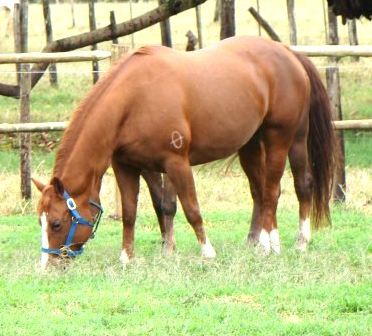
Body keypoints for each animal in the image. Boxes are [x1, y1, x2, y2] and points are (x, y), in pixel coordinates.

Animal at [33, 36, 336, 268]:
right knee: (260, 192)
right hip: (250, 144)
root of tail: (287, 52)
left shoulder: (177, 163)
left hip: (286, 139)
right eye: (40, 222)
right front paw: (129, 257)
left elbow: (192, 209)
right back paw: (257, 241)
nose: (47, 265)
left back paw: (283, 243)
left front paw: (207, 251)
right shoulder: (129, 166)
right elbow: (136, 211)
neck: (133, 99)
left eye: (57, 223)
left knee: (289, 188)